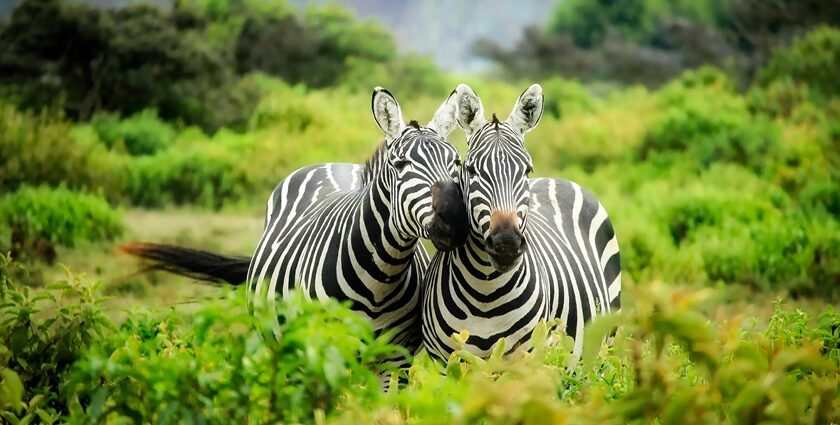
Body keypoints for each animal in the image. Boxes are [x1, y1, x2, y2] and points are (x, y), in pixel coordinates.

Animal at [123, 87, 472, 358]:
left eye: (456, 162)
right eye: (400, 165)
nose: (455, 220)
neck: (381, 277)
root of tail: (333, 163)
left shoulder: (394, 358)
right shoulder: (325, 349)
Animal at [420, 83, 624, 362]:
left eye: (527, 170)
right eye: (471, 170)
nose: (506, 244)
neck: (484, 292)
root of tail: (557, 179)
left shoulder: (526, 359)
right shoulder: (445, 361)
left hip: (603, 346)